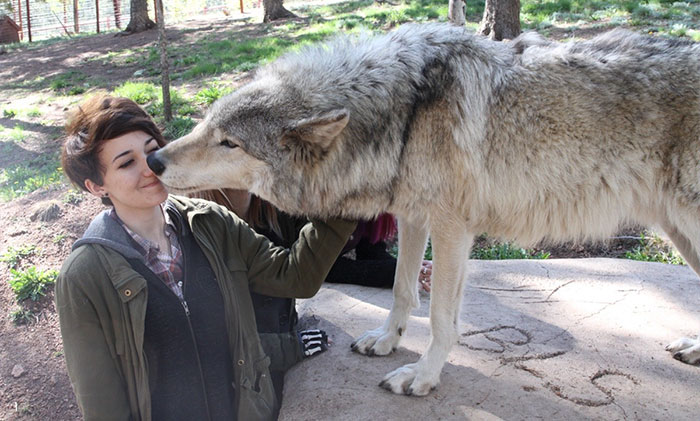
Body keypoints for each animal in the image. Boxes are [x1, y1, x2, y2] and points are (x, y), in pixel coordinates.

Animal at [147, 23, 700, 395]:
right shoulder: (413, 216)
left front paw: (424, 375)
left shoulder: (454, 226)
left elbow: (439, 317)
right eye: (207, 125)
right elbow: (402, 289)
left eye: (230, 143)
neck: (403, 113)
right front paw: (387, 341)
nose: (153, 159)